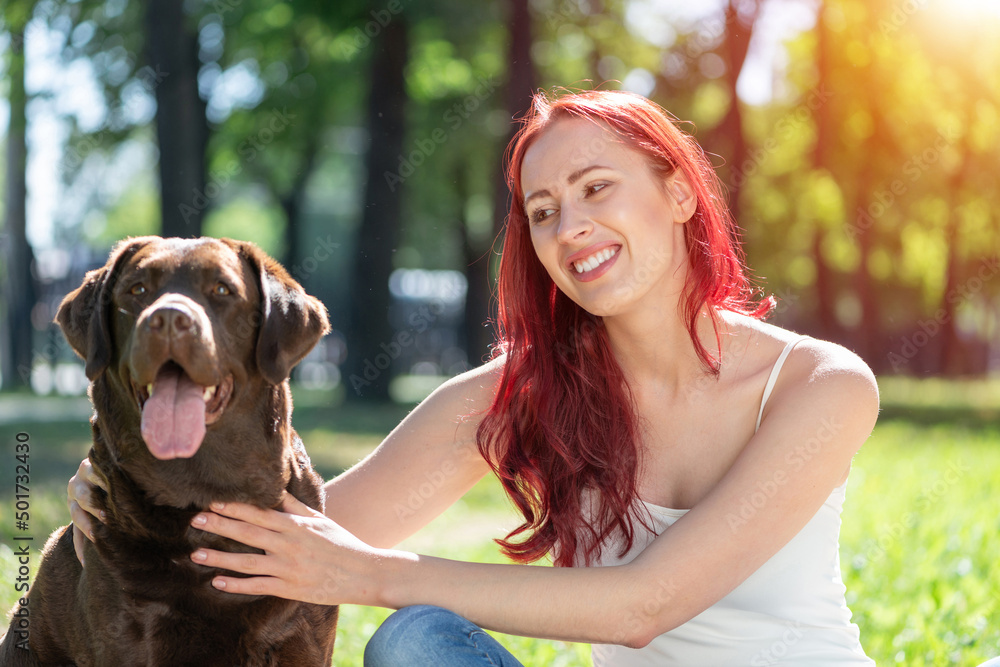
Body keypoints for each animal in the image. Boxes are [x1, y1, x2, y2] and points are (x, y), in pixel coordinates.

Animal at [0, 240, 340, 667]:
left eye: (222, 289)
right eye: (138, 289)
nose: (168, 318)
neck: (201, 493)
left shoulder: (302, 631)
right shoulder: (126, 632)